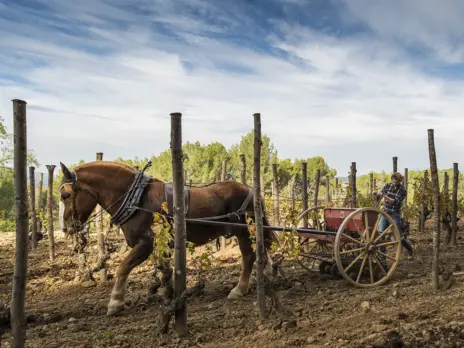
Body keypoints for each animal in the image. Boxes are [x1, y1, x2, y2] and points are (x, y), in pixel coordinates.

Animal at [57, 160, 276, 316]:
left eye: (65, 196)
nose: (66, 227)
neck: (136, 199)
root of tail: (251, 190)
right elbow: (164, 271)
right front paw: (168, 295)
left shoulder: (145, 243)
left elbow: (123, 267)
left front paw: (115, 302)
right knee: (262, 250)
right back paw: (267, 273)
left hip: (244, 231)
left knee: (248, 257)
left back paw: (239, 289)